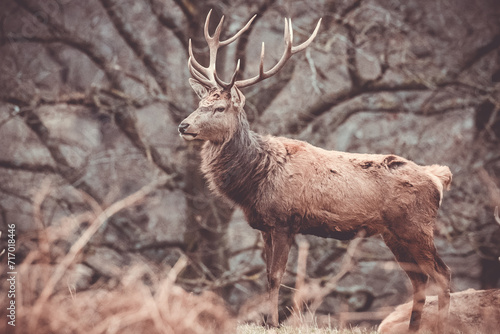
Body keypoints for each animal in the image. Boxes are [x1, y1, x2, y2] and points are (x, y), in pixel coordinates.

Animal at [179, 9, 454, 332]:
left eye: (219, 108)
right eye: (200, 102)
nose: (183, 125)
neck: (256, 178)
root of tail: (438, 178)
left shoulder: (284, 220)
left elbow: (276, 277)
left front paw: (274, 324)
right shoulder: (264, 225)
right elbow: (267, 277)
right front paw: (268, 321)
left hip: (416, 226)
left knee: (442, 274)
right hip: (394, 234)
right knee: (419, 279)